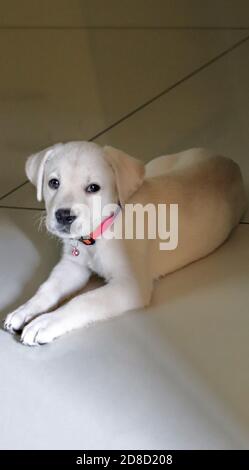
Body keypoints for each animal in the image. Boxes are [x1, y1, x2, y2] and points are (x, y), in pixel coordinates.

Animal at [3, 143, 247, 346]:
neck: (98, 235)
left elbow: (84, 300)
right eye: (53, 183)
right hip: (154, 167)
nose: (63, 216)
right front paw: (24, 310)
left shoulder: (130, 285)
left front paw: (45, 323)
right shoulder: (73, 266)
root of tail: (228, 159)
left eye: (93, 188)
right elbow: (47, 288)